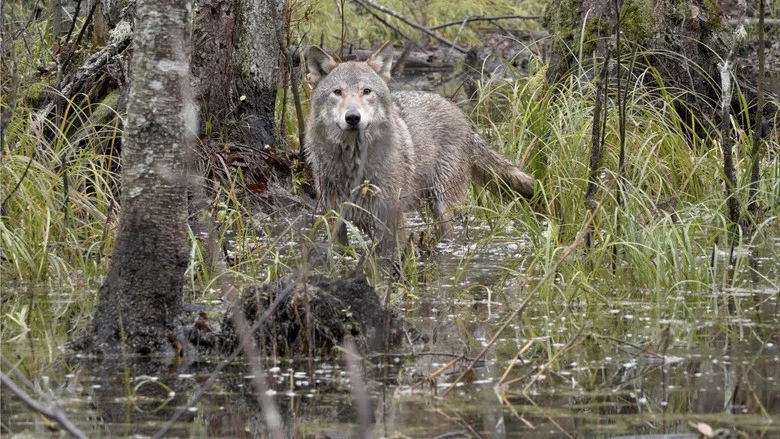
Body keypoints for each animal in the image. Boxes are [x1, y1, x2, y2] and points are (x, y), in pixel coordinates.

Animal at [304, 42, 535, 251]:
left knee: (449, 236)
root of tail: (460, 114)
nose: (352, 117)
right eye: (337, 92)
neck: (353, 161)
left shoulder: (392, 217)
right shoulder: (334, 217)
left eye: (366, 91)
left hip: (442, 206)